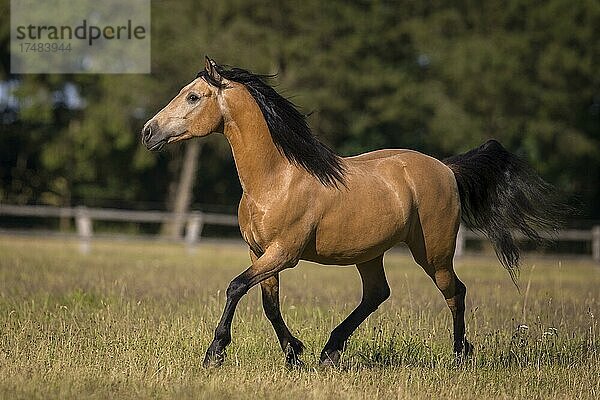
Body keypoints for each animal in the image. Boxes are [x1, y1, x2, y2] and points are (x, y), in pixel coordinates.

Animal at [141, 56, 564, 368]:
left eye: (194, 97)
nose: (148, 132)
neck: (275, 179)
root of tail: (446, 169)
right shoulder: (259, 252)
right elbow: (268, 303)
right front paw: (295, 354)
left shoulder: (284, 253)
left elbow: (235, 287)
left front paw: (215, 353)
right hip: (369, 253)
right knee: (377, 294)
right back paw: (330, 350)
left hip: (434, 253)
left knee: (455, 291)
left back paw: (460, 355)